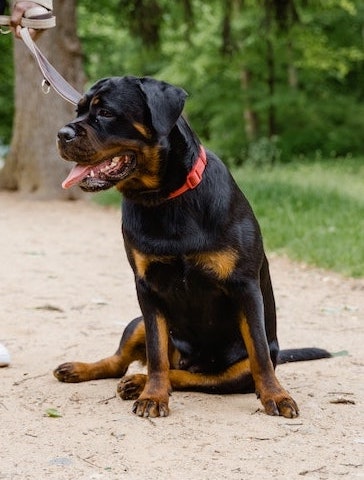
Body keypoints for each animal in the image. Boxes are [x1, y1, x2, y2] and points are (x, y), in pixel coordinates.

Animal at [53, 75, 330, 416]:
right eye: (78, 110)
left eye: (105, 112)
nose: (62, 134)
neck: (164, 199)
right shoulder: (147, 289)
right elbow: (157, 352)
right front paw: (154, 395)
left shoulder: (245, 286)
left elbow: (260, 355)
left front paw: (276, 396)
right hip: (137, 322)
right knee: (125, 362)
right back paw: (91, 371)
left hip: (233, 370)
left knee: (199, 375)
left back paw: (137, 382)